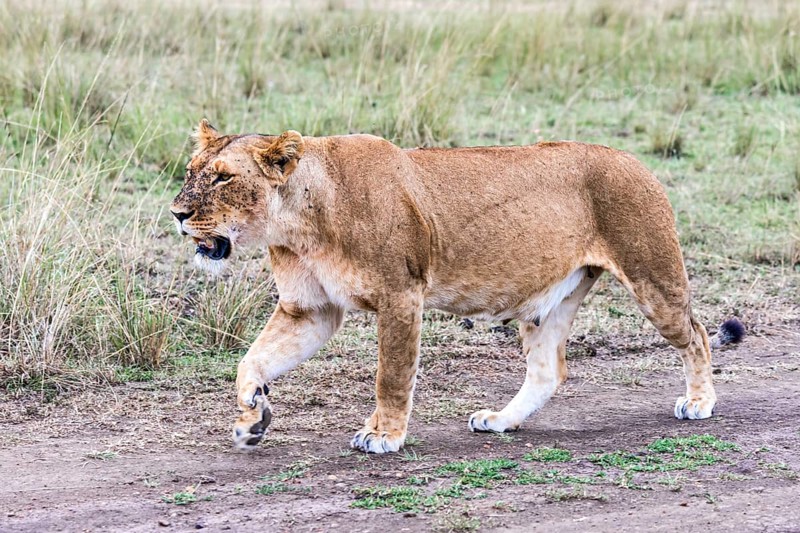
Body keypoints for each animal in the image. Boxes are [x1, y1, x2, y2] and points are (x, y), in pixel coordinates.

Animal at [170, 119, 744, 453]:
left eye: (222, 177)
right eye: (193, 170)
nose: (176, 213)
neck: (297, 223)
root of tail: (632, 157)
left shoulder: (401, 296)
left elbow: (391, 376)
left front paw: (383, 435)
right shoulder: (309, 309)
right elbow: (253, 361)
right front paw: (253, 417)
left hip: (652, 277)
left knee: (695, 332)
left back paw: (699, 402)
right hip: (549, 301)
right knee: (548, 370)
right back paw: (500, 421)